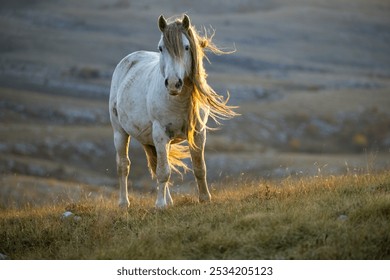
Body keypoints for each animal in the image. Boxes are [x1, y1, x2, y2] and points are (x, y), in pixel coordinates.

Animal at [108, 14, 236, 208]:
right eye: (161, 48)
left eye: (186, 47)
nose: (173, 83)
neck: (179, 100)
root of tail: (129, 60)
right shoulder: (160, 133)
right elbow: (163, 171)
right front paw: (160, 205)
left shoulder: (198, 133)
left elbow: (199, 167)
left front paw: (204, 198)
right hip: (120, 132)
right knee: (124, 165)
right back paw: (124, 203)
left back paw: (169, 201)